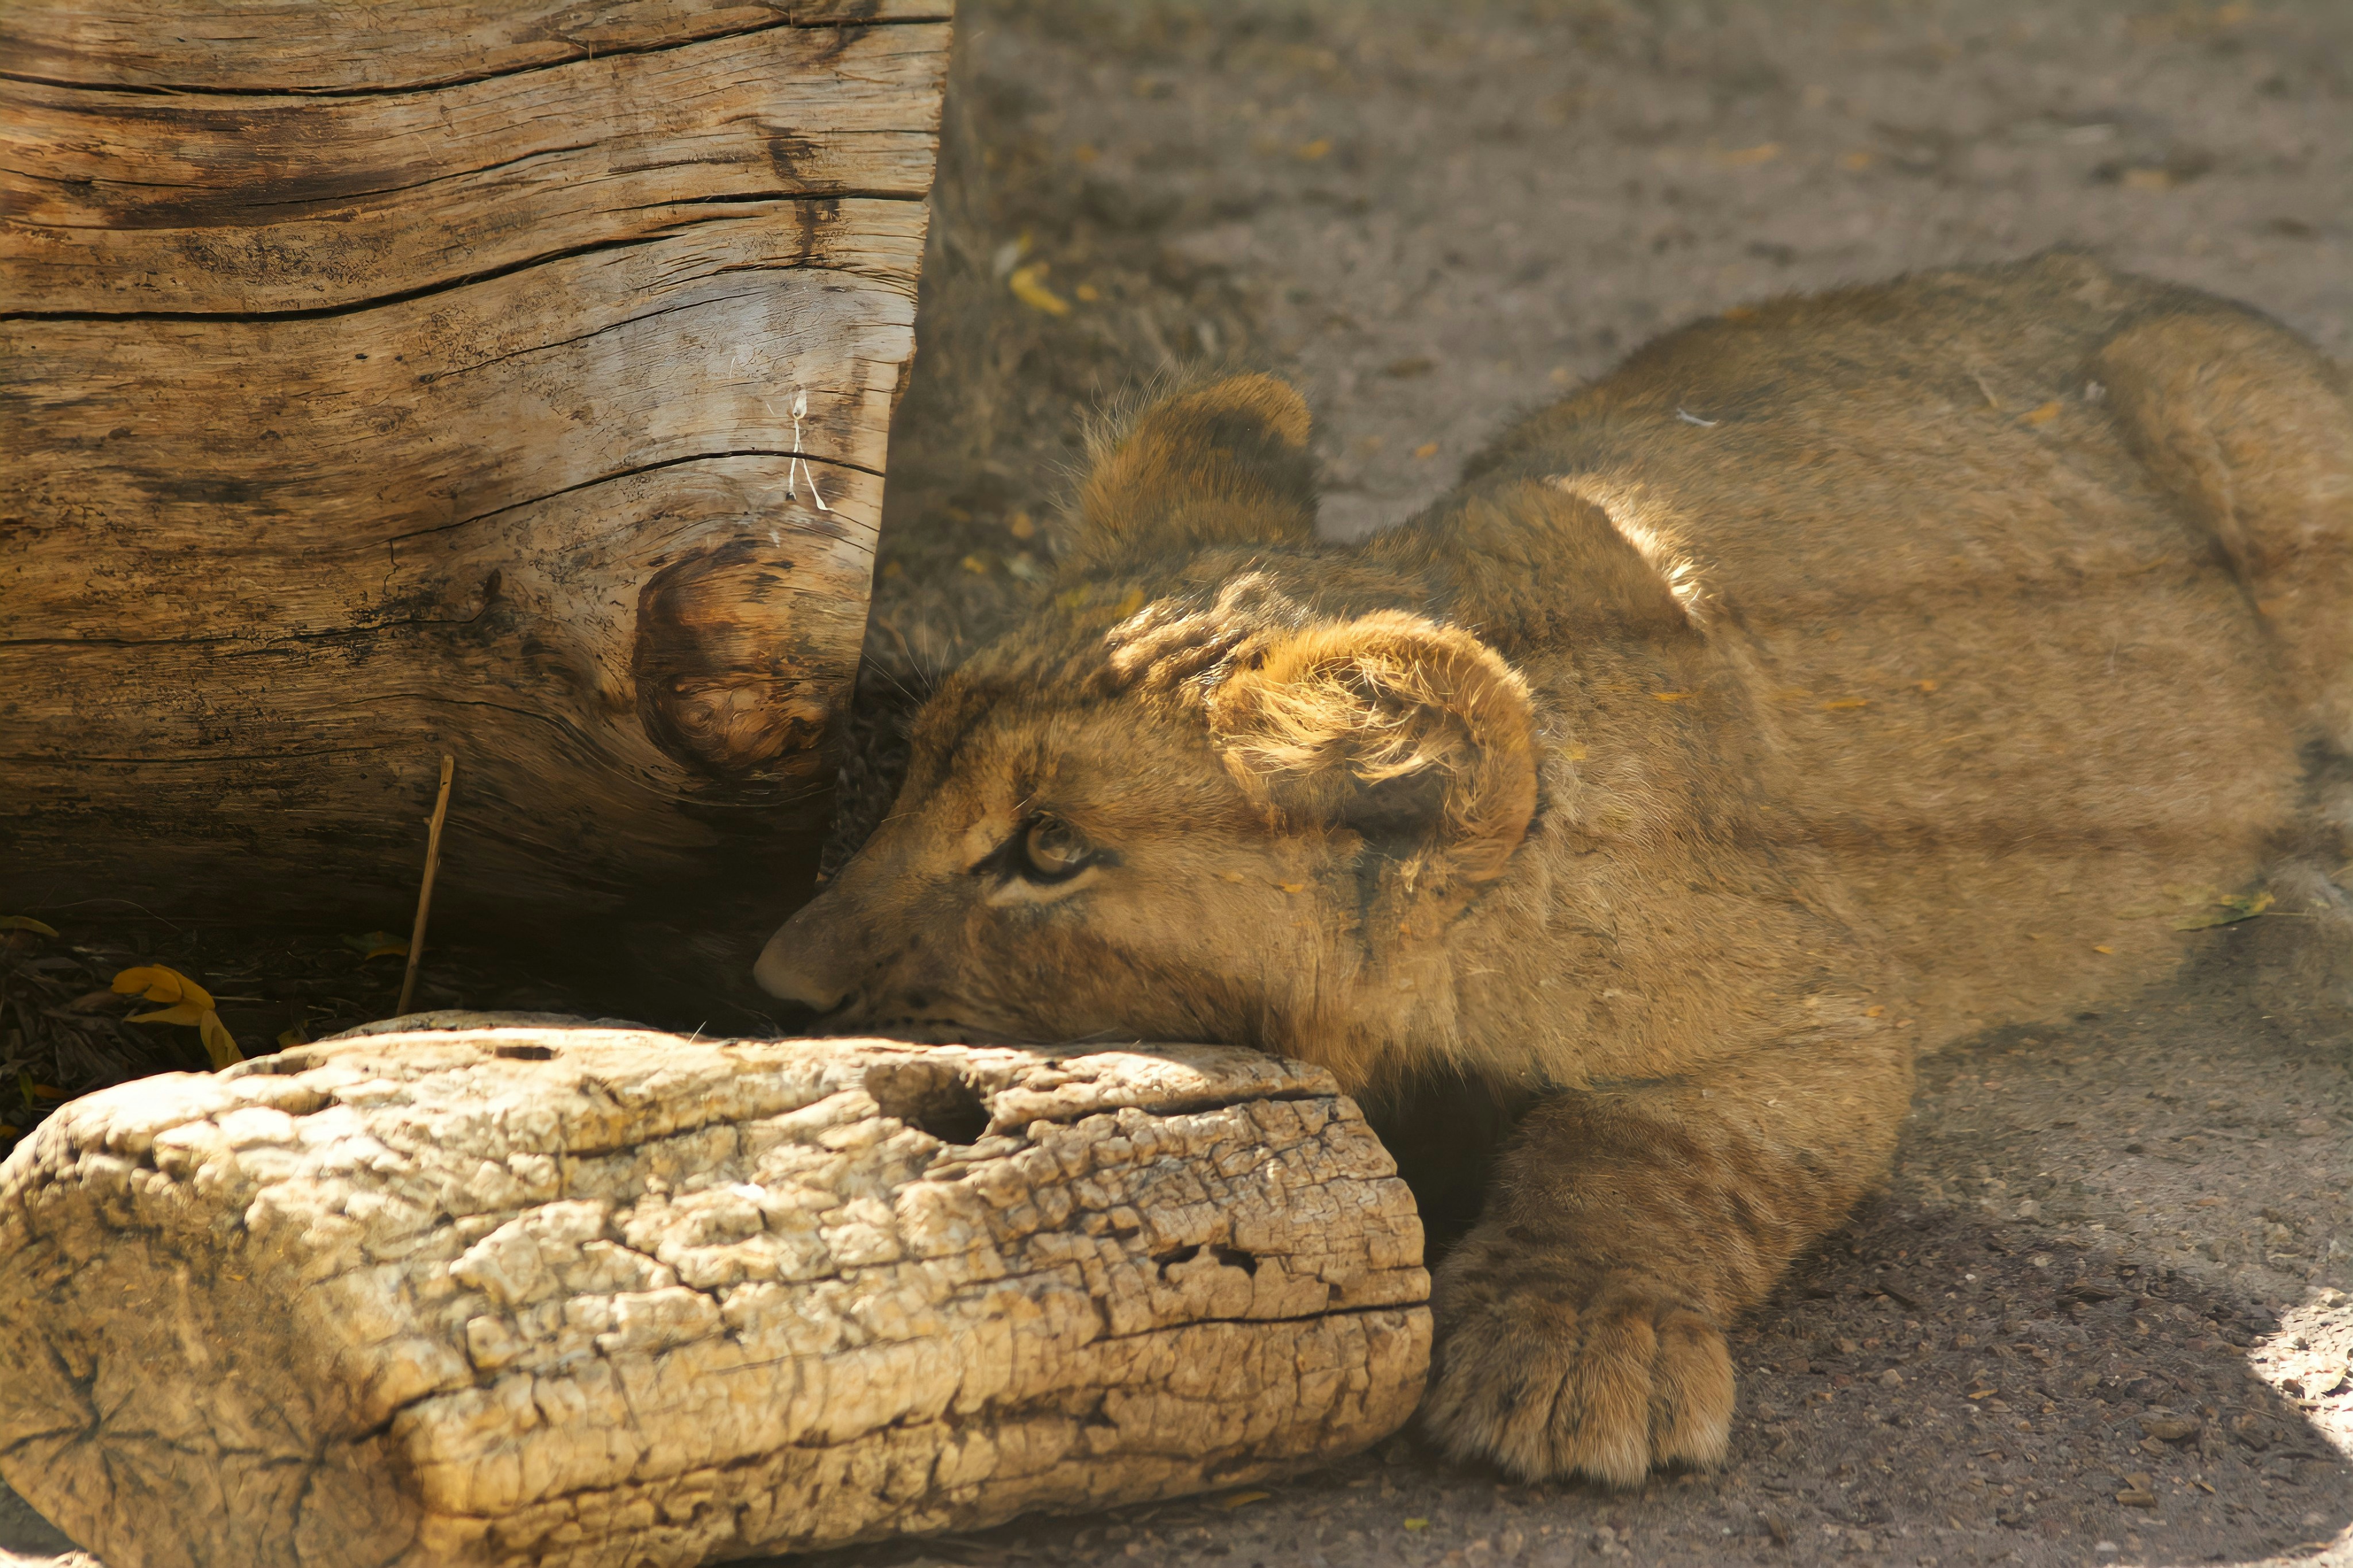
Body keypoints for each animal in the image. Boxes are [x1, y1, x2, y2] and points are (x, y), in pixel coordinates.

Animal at [756, 253, 2353, 1485]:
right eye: (917, 771)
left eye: (1047, 852)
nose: (775, 982)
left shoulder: (1821, 998)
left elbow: (1654, 1150)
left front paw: (1577, 1345)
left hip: (2237, 437)